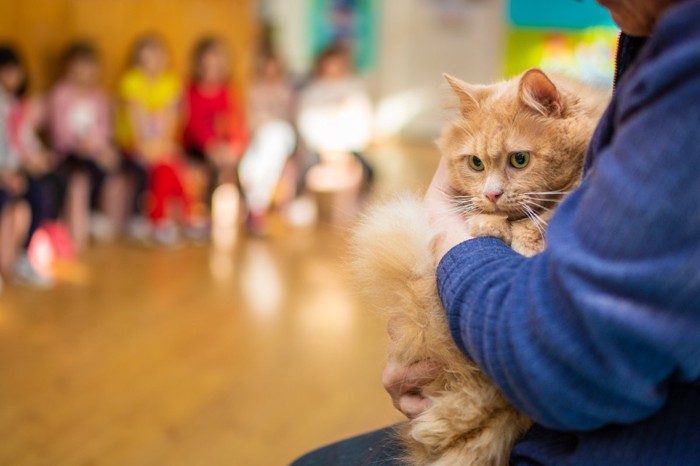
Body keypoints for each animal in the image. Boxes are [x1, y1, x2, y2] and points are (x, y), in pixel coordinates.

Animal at [352, 70, 604, 466]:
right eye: (475, 164)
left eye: (519, 160)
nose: (491, 194)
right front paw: (491, 223)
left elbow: (543, 217)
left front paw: (522, 236)